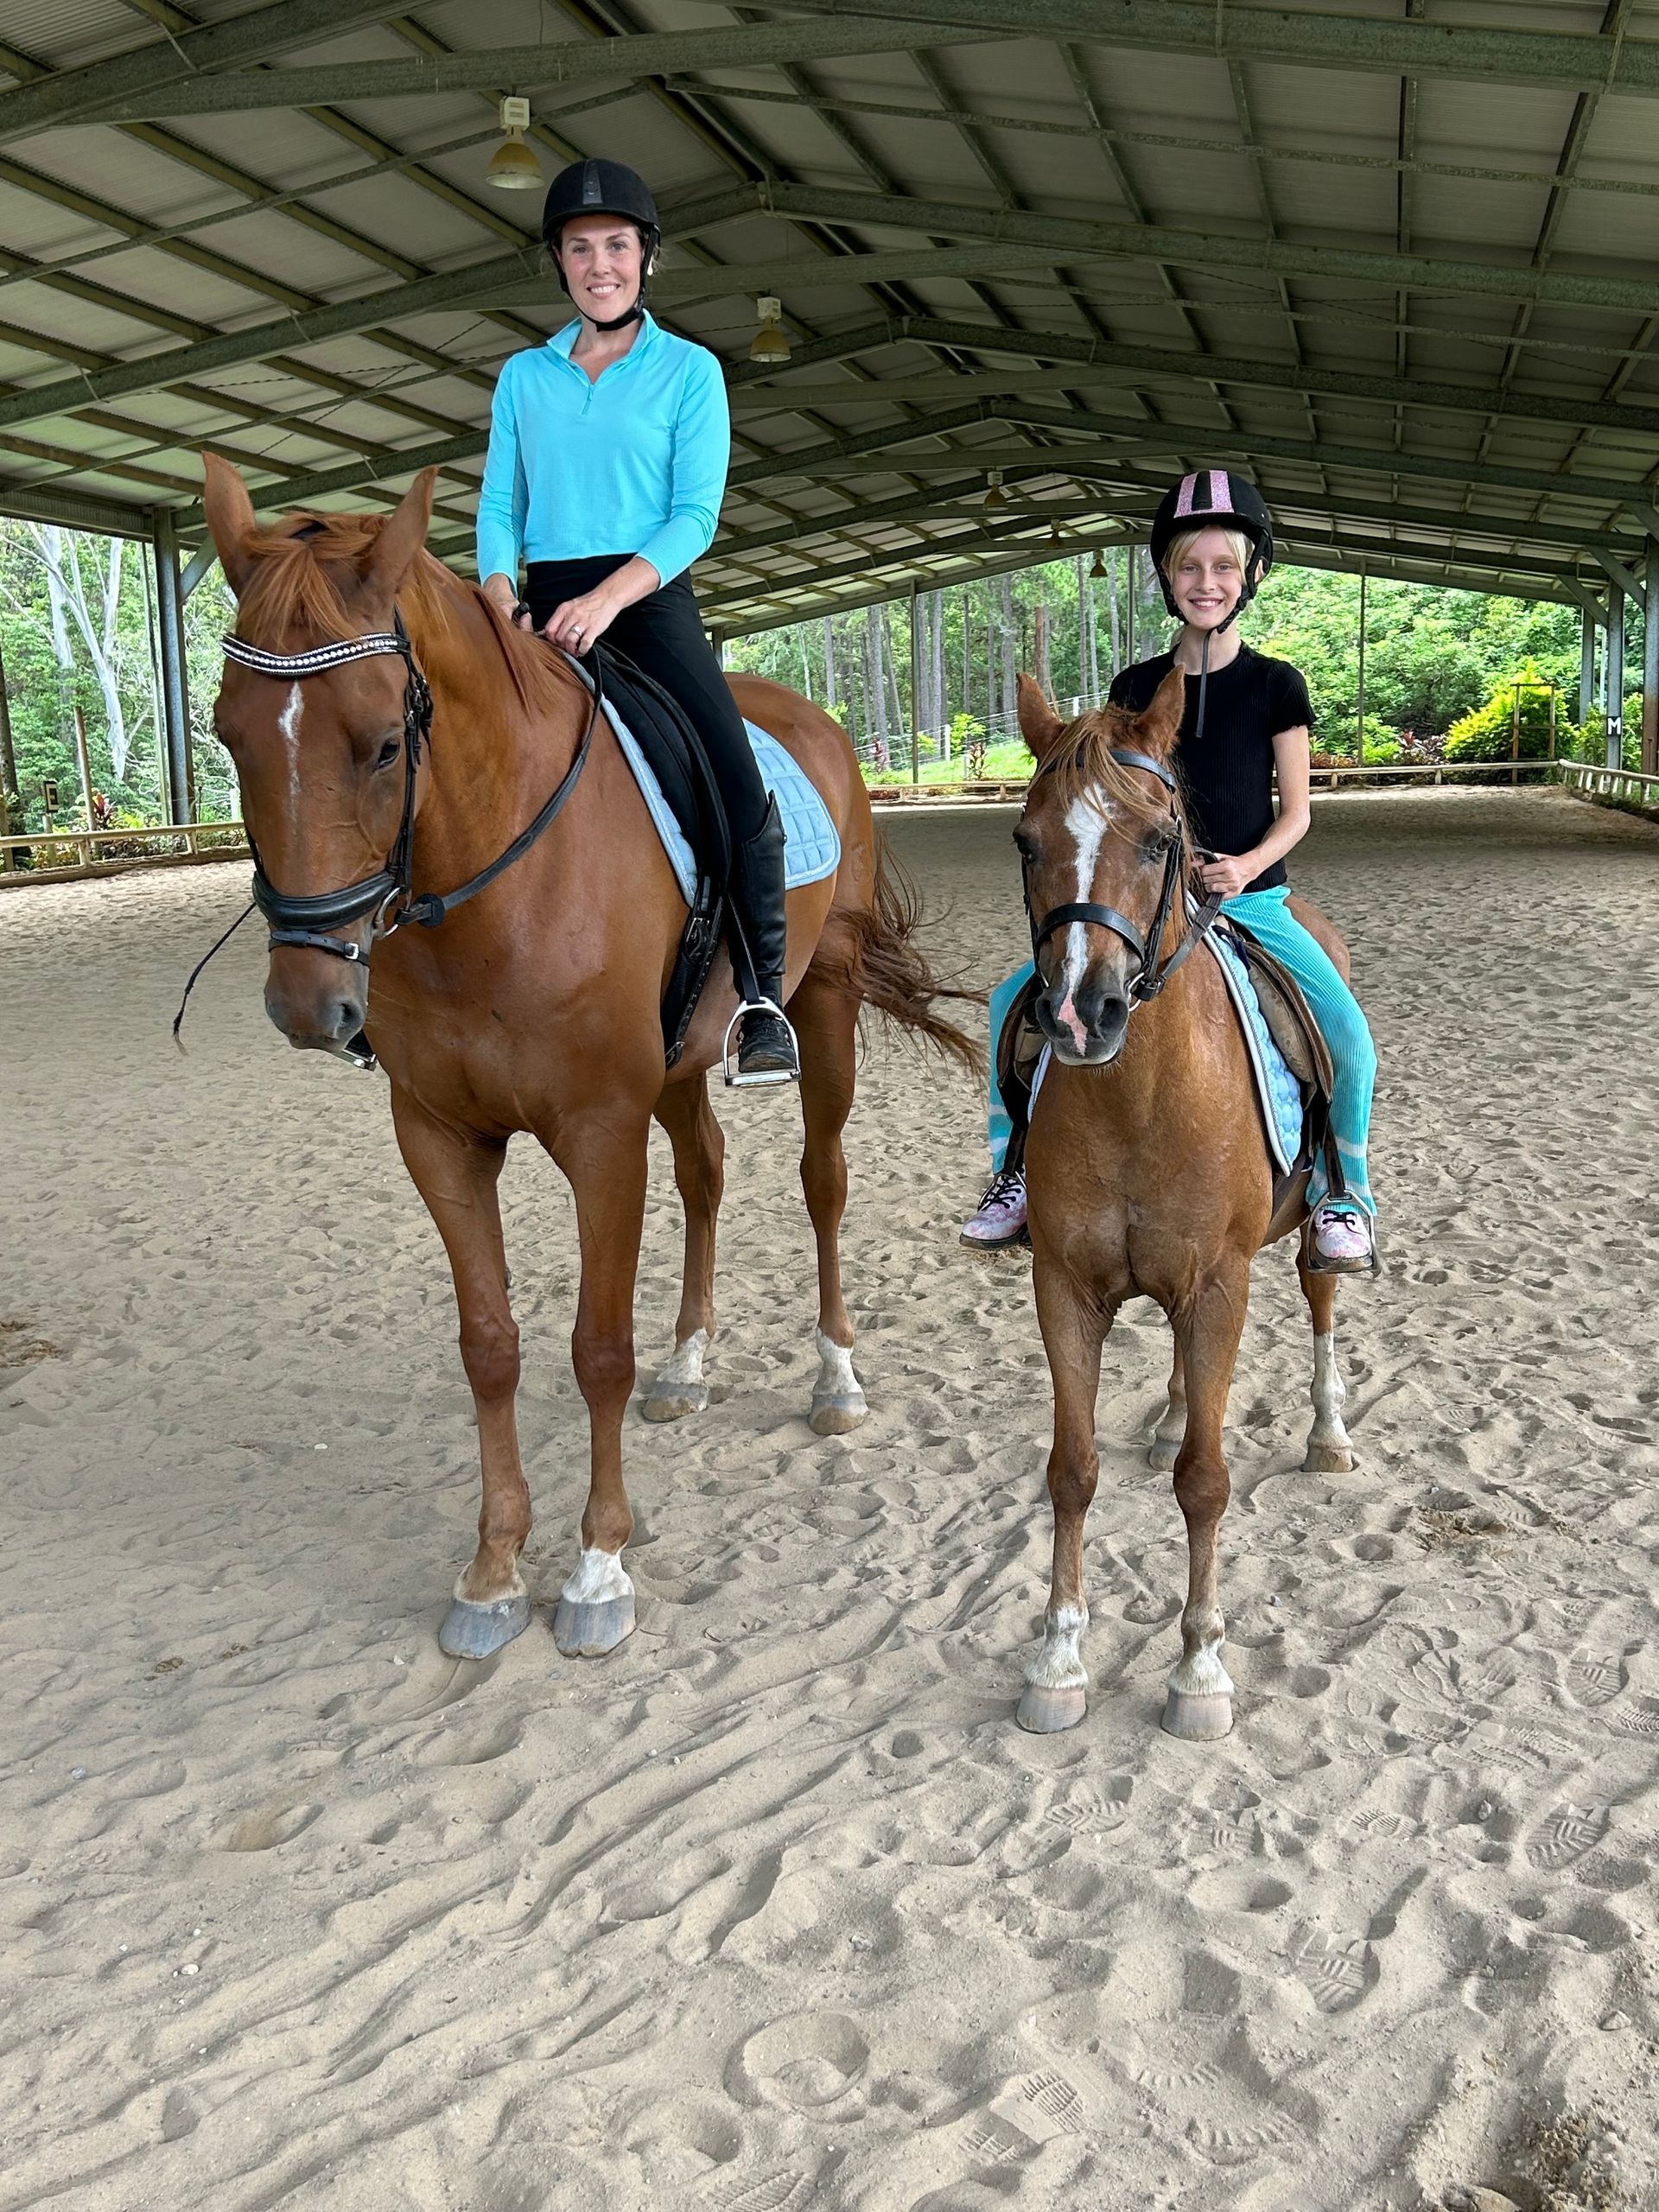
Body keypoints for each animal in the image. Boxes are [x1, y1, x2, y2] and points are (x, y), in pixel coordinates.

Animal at [199, 458, 976, 1663]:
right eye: (229, 735)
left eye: (383, 743)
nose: (307, 1006)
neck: (490, 883)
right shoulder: (439, 1137)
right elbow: (490, 1345)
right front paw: (489, 1575)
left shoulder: (599, 1131)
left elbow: (595, 1346)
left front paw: (599, 1568)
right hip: (678, 1063)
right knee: (706, 1172)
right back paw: (689, 1364)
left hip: (826, 1006)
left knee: (822, 1182)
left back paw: (835, 1376)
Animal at [1009, 669, 1357, 1744]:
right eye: (1025, 840)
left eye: (1164, 840)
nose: (1080, 1013)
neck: (1139, 1099)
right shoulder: (1065, 1287)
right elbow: (1071, 1470)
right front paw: (1057, 1657)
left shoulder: (1219, 1288)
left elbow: (1204, 1481)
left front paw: (1200, 1668)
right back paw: (1167, 1414)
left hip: (1308, 1242)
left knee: (1323, 1309)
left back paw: (1329, 1434)